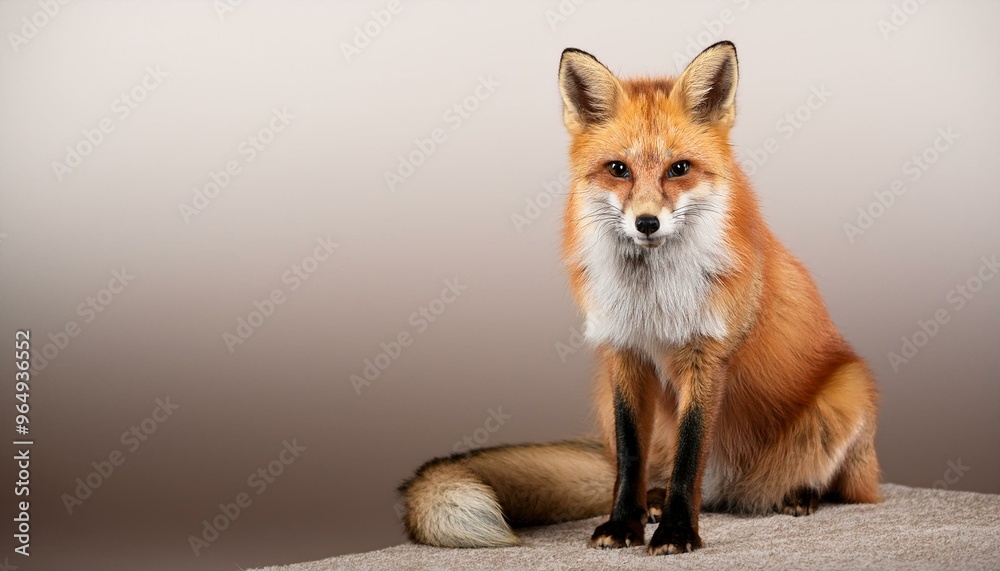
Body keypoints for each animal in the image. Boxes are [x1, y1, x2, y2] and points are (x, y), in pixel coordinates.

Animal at [398, 41, 880, 555]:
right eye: (618, 170)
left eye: (679, 169)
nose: (646, 223)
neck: (653, 301)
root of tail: (730, 493)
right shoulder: (623, 353)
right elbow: (630, 458)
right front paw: (623, 523)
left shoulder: (706, 356)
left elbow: (690, 455)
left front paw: (676, 532)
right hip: (603, 395)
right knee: (647, 471)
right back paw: (655, 500)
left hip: (848, 393)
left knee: (838, 487)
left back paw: (799, 493)